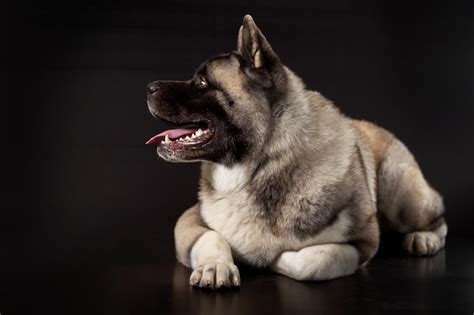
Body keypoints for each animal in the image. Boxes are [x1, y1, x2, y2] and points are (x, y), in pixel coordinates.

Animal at [145, 16, 448, 290]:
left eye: (202, 83)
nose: (149, 88)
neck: (260, 167)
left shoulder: (363, 240)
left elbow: (313, 261)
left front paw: (272, 260)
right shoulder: (189, 220)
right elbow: (211, 237)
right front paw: (216, 266)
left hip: (400, 193)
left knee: (438, 218)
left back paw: (424, 239)